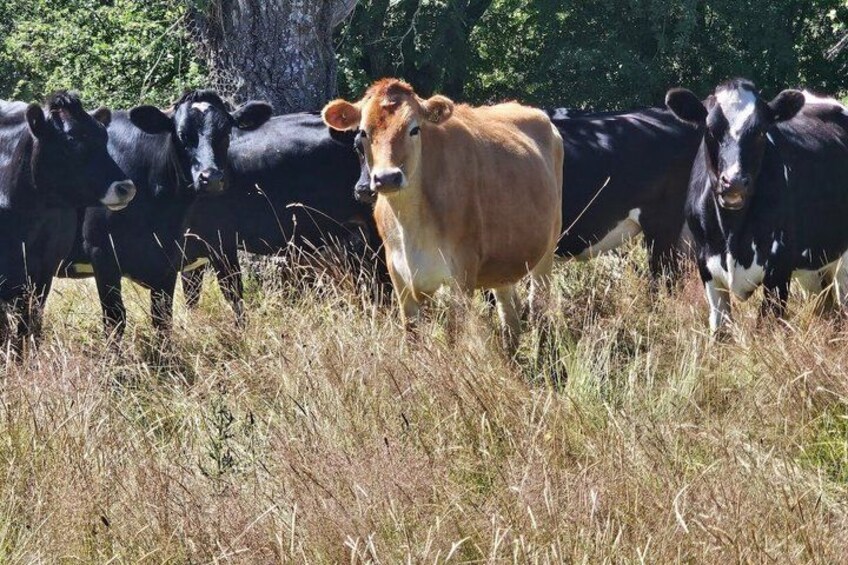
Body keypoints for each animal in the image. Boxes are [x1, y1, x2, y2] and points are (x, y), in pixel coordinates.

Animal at [60, 90, 272, 337]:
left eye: (226, 131)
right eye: (181, 135)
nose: (211, 178)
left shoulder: (170, 258)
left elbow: (163, 319)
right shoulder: (101, 253)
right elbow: (115, 320)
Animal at [321, 78, 563, 353]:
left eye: (414, 129)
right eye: (363, 132)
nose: (387, 177)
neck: (410, 225)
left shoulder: (461, 274)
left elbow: (453, 340)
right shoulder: (399, 278)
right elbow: (412, 338)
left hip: (547, 248)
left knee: (539, 307)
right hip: (505, 262)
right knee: (509, 312)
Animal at [665, 78, 848, 334]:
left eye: (761, 131)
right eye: (710, 129)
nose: (734, 181)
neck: (732, 234)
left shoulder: (779, 270)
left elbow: (766, 328)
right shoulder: (706, 265)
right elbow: (720, 330)